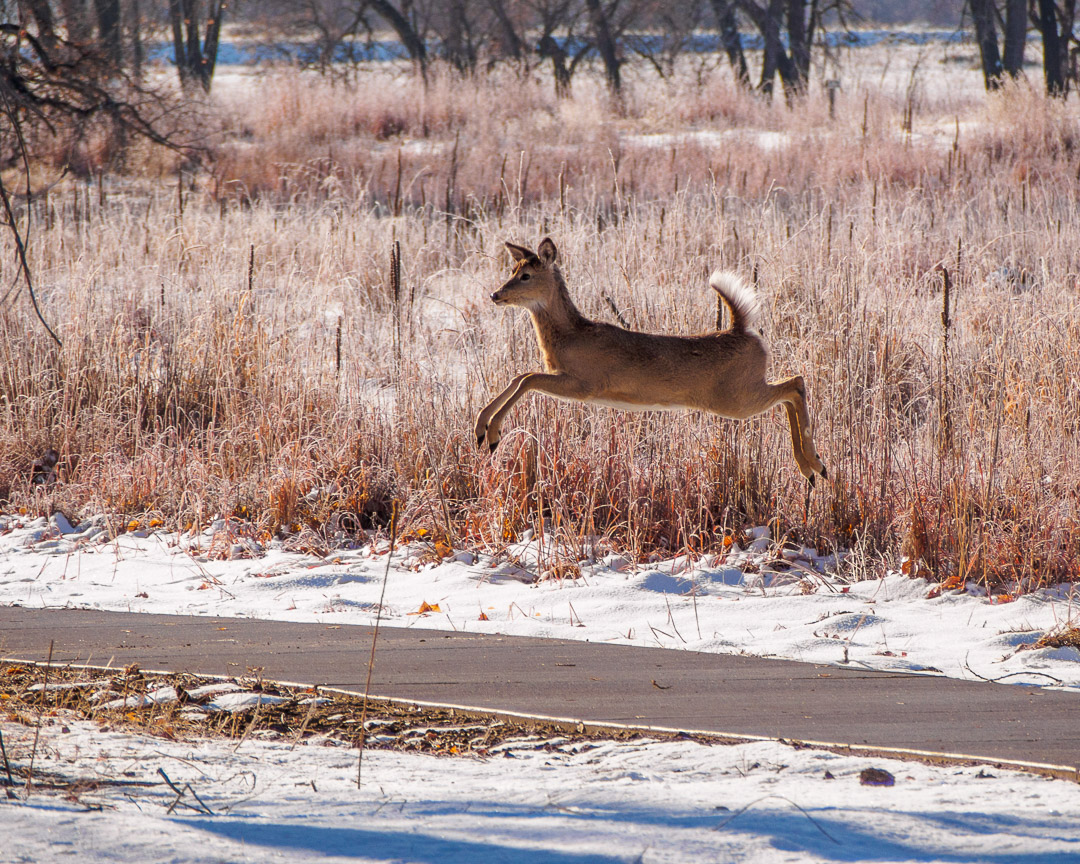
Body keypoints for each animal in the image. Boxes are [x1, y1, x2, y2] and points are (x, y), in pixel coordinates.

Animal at [473, 239, 825, 486]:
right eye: (511, 271)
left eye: (526, 275)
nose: (494, 295)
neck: (570, 335)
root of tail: (741, 330)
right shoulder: (565, 378)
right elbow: (520, 376)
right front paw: (480, 429)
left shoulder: (585, 384)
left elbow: (527, 378)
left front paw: (492, 435)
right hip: (741, 393)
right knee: (791, 389)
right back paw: (812, 468)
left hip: (735, 399)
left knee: (795, 385)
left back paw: (814, 465)